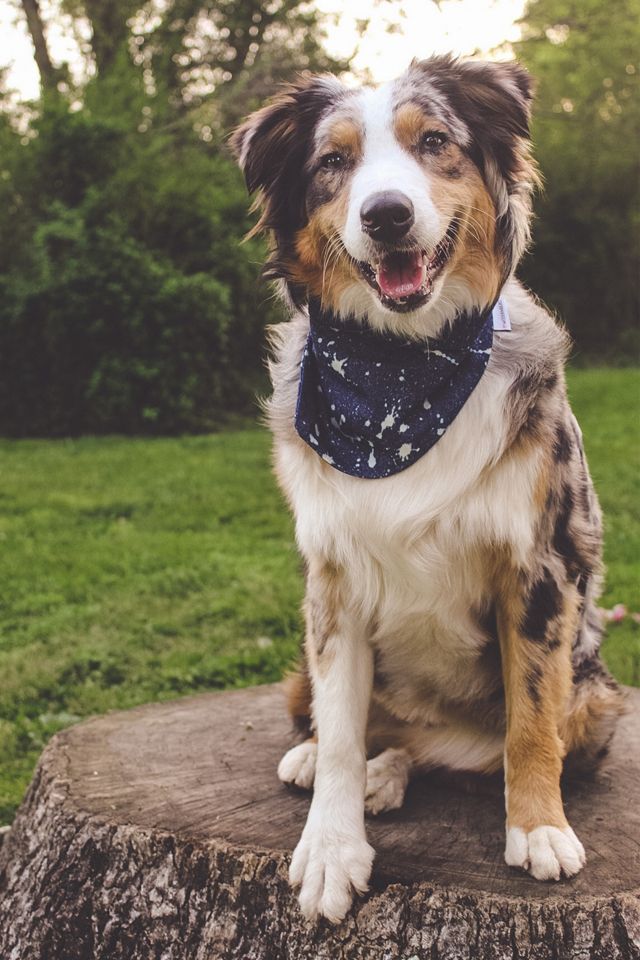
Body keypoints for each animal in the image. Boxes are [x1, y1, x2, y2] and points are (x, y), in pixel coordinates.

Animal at [231, 54, 624, 924]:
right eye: (333, 162)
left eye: (435, 142)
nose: (385, 215)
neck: (401, 368)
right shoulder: (333, 580)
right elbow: (344, 734)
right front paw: (330, 848)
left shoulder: (540, 572)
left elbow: (530, 721)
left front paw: (539, 829)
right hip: (306, 666)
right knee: (369, 733)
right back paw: (349, 766)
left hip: (599, 693)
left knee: (473, 752)